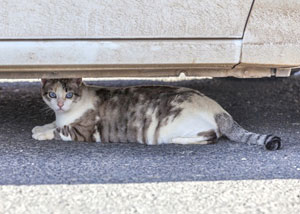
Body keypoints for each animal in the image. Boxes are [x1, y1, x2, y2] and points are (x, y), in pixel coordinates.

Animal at [32, 78, 282, 150]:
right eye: (52, 95)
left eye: (69, 94)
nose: (60, 104)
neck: (65, 114)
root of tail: (218, 109)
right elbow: (51, 124)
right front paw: (40, 126)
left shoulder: (82, 132)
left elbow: (58, 131)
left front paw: (40, 133)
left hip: (174, 126)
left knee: (210, 136)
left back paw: (179, 141)